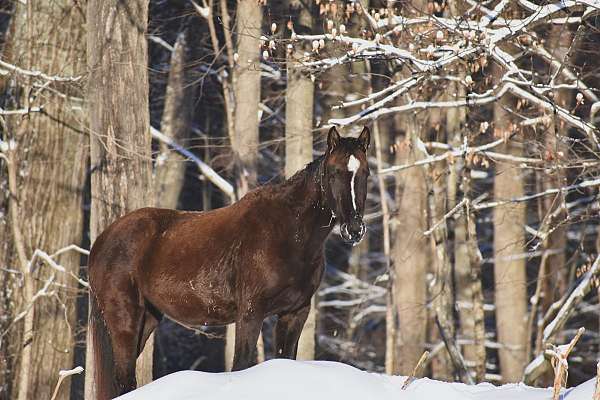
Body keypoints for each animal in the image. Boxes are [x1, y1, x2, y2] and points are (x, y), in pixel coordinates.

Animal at [88, 126, 370, 398]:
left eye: (365, 174)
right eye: (334, 173)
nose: (354, 229)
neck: (289, 233)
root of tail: (103, 239)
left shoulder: (295, 313)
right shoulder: (250, 314)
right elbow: (241, 364)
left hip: (147, 318)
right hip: (125, 319)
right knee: (124, 379)